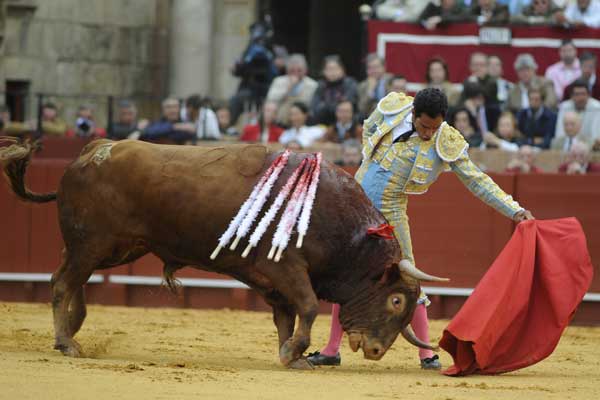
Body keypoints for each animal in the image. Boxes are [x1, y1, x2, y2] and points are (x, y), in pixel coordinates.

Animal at [0, 140, 446, 368]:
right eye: (395, 301)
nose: (375, 351)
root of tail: (88, 152)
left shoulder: (272, 279)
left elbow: (285, 315)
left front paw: (290, 354)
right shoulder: (286, 267)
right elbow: (306, 307)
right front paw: (294, 351)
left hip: (114, 248)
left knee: (71, 276)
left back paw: (75, 327)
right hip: (95, 243)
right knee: (61, 282)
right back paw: (66, 342)